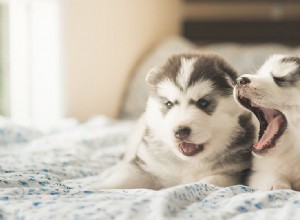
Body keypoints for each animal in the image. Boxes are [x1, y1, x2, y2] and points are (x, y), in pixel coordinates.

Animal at [90, 54, 254, 190]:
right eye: (169, 104)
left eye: (203, 103)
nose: (180, 131)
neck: (188, 162)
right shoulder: (147, 165)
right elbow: (124, 177)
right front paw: (95, 188)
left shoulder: (235, 171)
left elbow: (210, 181)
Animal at [234, 54, 300, 190]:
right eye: (260, 74)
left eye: (279, 79)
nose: (239, 80)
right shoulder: (260, 172)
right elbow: (273, 177)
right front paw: (279, 187)